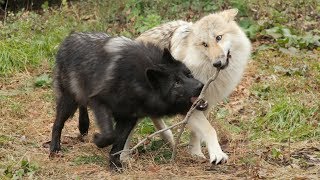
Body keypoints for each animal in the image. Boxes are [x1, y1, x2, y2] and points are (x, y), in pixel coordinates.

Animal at [50, 32, 204, 170]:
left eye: (189, 74)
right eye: (176, 83)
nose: (200, 85)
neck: (136, 82)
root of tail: (68, 39)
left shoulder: (129, 118)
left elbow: (118, 143)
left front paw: (115, 165)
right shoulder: (99, 102)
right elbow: (110, 135)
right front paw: (98, 141)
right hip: (68, 102)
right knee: (57, 124)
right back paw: (54, 148)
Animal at [121, 8, 251, 165]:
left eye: (219, 37)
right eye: (204, 44)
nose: (217, 63)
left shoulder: (204, 104)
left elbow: (196, 133)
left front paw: (195, 153)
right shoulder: (188, 106)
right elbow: (210, 129)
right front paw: (217, 154)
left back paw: (169, 140)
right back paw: (123, 157)